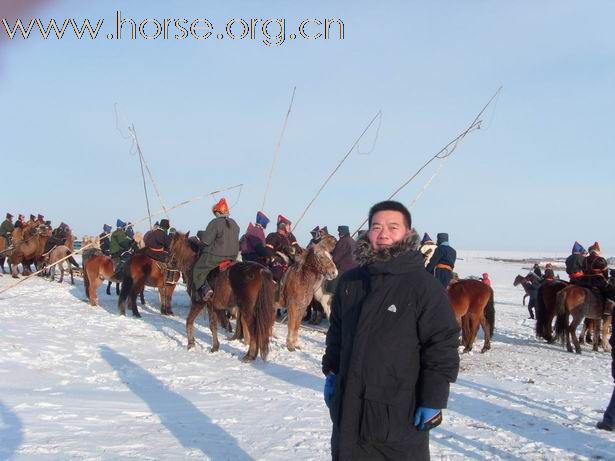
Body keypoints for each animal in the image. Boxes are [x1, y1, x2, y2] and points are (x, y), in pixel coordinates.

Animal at [167, 232, 276, 362]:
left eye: (173, 245)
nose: (168, 261)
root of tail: (261, 270)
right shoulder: (212, 306)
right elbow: (213, 326)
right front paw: (215, 347)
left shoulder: (198, 303)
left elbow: (189, 321)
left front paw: (191, 344)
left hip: (247, 309)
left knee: (253, 330)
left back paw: (249, 355)